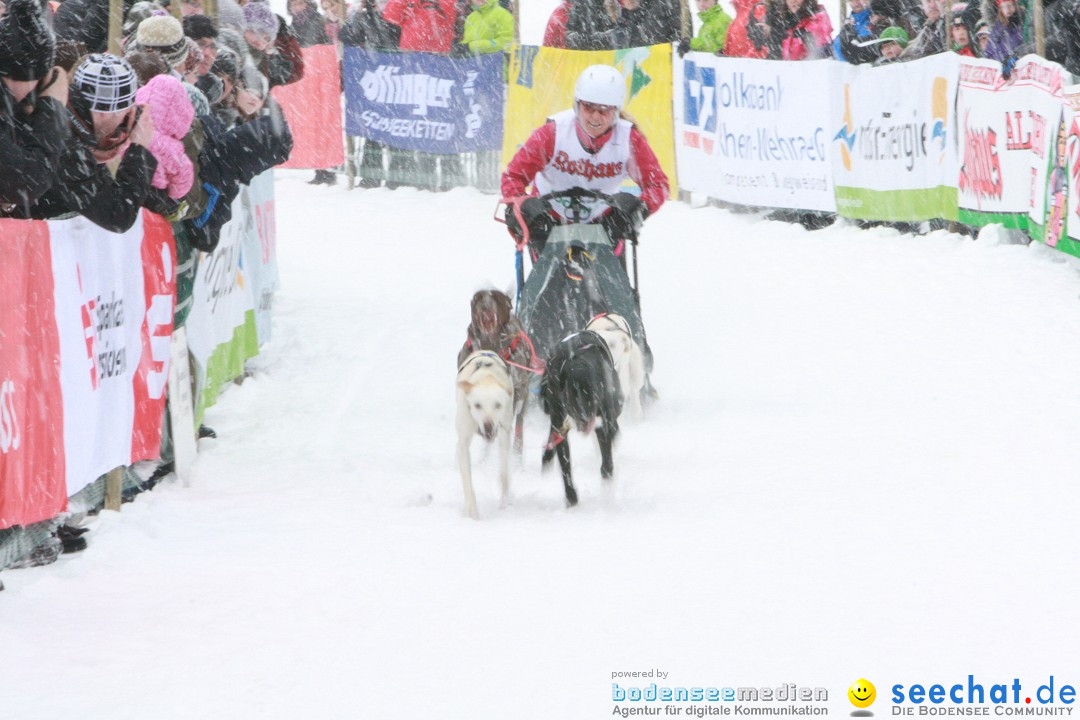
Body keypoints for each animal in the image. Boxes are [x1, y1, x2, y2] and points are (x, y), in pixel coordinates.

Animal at [455, 349, 514, 518]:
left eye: (497, 405)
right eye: (477, 405)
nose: (488, 426)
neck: (486, 377)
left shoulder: (504, 430)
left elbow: (504, 473)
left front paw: (505, 501)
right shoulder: (463, 441)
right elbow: (467, 481)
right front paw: (472, 512)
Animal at [540, 330, 626, 505]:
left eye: (590, 397)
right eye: (571, 399)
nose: (584, 420)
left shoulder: (602, 419)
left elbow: (607, 461)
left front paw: (607, 488)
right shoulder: (560, 420)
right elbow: (565, 463)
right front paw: (571, 496)